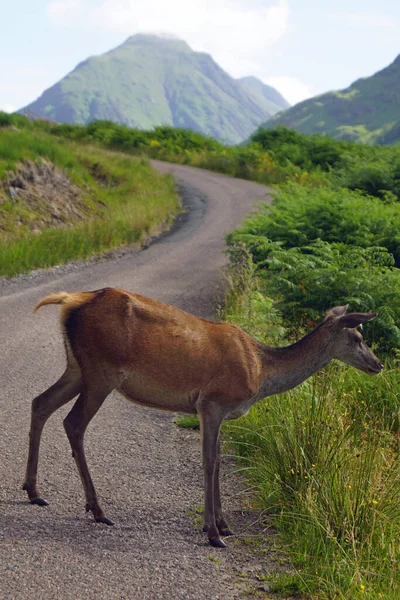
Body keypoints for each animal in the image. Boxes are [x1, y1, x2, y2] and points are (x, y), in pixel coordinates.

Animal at [22, 288, 384, 548]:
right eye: (358, 337)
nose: (378, 364)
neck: (262, 372)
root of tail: (70, 301)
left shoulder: (221, 413)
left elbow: (220, 461)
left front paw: (224, 524)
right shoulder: (211, 403)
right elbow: (209, 462)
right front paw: (212, 532)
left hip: (76, 368)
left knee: (40, 402)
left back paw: (33, 490)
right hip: (101, 371)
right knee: (73, 423)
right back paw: (97, 510)